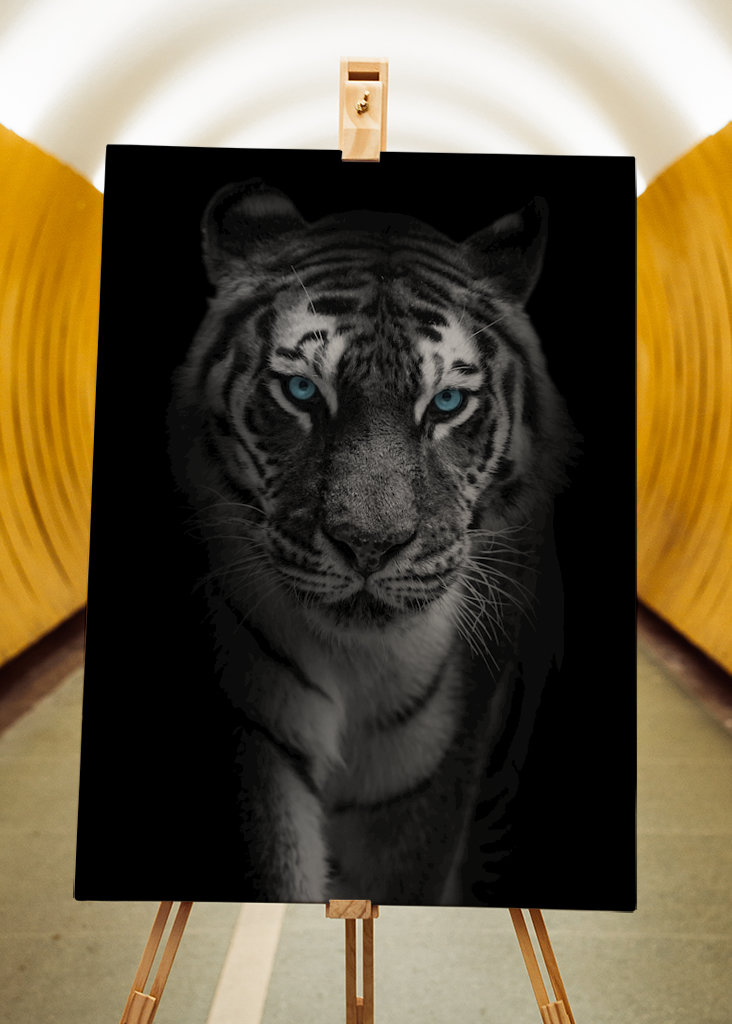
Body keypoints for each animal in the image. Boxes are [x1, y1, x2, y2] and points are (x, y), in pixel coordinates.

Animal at [168, 178, 574, 906]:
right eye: (303, 391)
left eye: (447, 404)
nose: (369, 546)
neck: (356, 660)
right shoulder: (253, 731)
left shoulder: (433, 767)